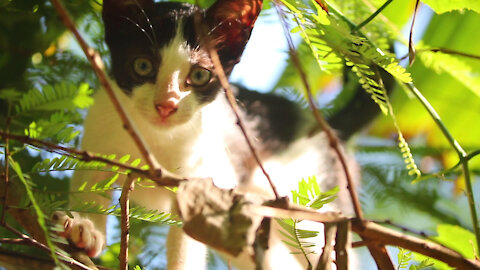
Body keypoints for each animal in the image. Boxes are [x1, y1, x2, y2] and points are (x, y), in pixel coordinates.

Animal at [59, 0, 352, 268]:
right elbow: (90, 180)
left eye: (200, 75)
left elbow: (187, 238)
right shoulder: (100, 130)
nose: (166, 104)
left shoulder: (199, 177)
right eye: (142, 66)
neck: (155, 139)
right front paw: (85, 229)